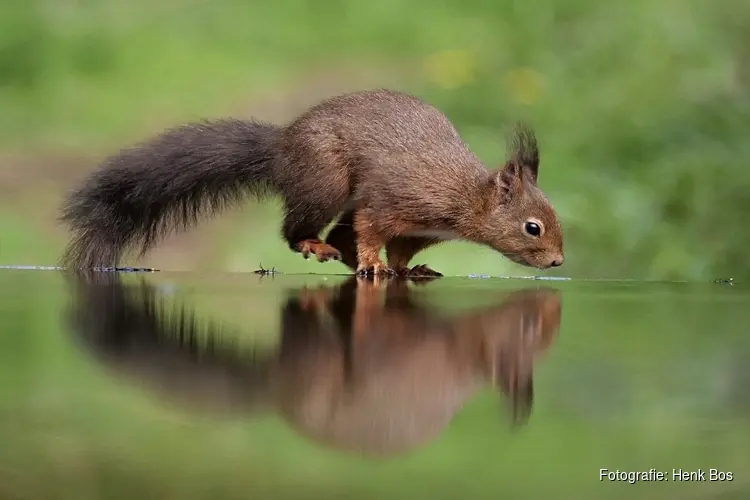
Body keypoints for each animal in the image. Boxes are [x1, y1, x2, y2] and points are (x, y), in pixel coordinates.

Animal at [58, 88, 564, 276]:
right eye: (532, 227)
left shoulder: (418, 232)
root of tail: (284, 149)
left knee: (338, 234)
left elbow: (401, 250)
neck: (464, 195)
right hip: (326, 184)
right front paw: (376, 263)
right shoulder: (393, 202)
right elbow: (371, 231)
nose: (558, 261)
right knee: (298, 230)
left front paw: (406, 269)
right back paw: (313, 244)